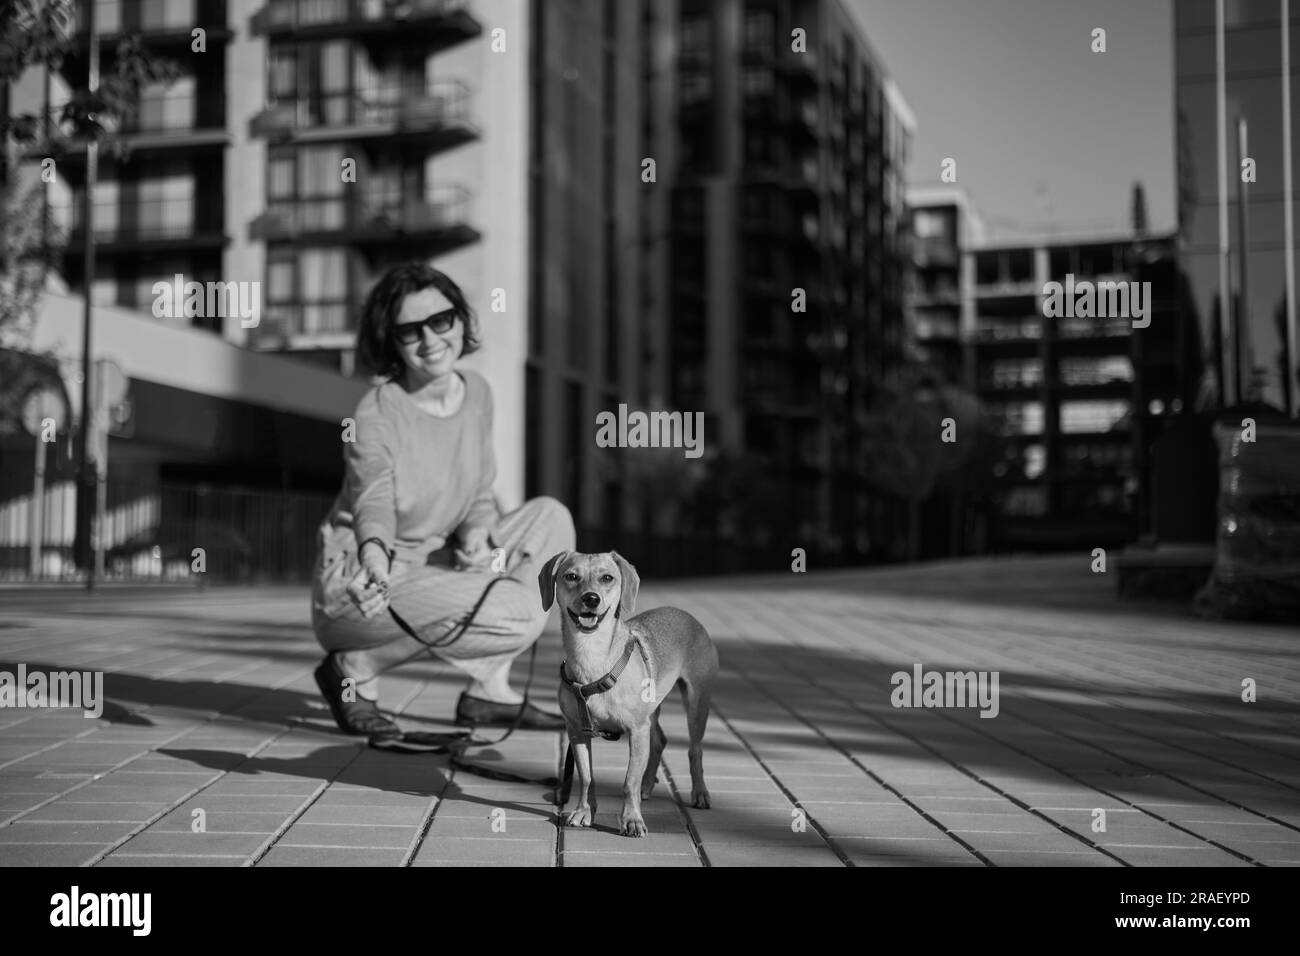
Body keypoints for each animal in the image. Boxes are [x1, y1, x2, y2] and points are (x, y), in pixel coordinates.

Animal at [538, 554, 722, 837]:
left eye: (607, 578)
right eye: (570, 576)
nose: (591, 599)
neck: (591, 658)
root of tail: (685, 614)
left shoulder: (636, 730)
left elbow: (628, 781)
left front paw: (632, 820)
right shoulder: (577, 731)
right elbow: (587, 776)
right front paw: (584, 812)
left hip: (696, 705)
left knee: (695, 750)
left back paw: (699, 793)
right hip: (653, 711)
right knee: (660, 741)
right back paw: (647, 786)